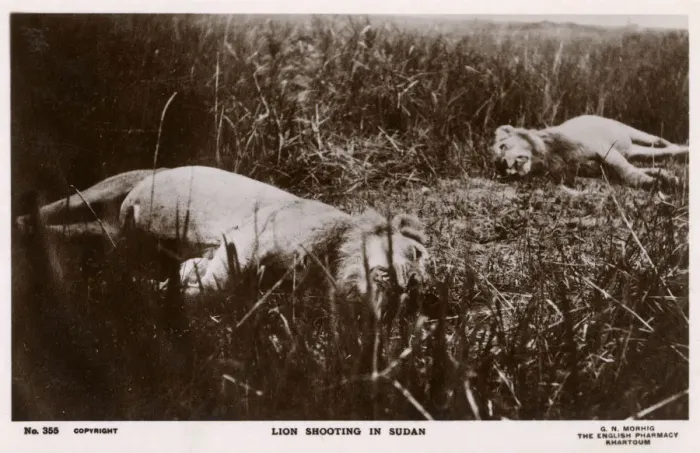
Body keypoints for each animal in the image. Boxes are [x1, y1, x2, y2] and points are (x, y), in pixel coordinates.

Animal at [16, 166, 429, 305]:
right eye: (418, 255)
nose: (415, 286)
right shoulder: (249, 237)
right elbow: (215, 286)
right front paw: (166, 292)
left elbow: (203, 279)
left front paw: (162, 286)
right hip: (106, 190)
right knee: (50, 209)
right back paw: (20, 223)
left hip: (108, 233)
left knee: (62, 233)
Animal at [490, 115, 689, 189]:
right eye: (496, 163)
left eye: (503, 146)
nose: (502, 165)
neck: (549, 154)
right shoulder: (599, 170)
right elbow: (640, 170)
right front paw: (668, 178)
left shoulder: (604, 149)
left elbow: (627, 171)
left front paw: (649, 182)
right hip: (634, 151)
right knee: (666, 151)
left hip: (632, 132)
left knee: (660, 140)